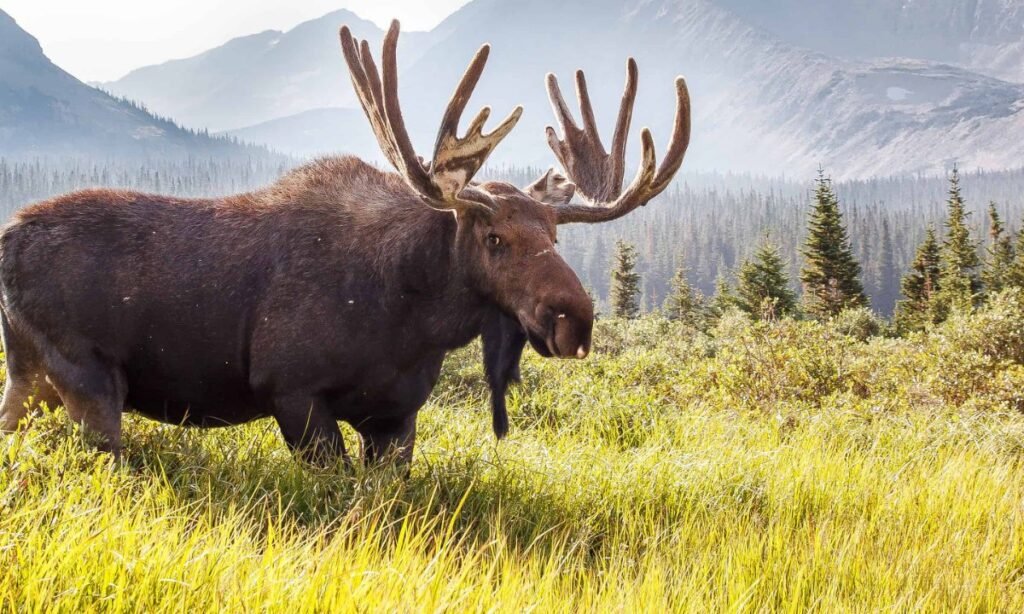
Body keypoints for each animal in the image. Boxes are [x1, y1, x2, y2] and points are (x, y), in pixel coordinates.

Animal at [0, 20, 690, 467]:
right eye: (495, 237)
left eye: (554, 235)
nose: (575, 319)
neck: (414, 320)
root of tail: (6, 241)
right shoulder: (292, 391)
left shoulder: (396, 416)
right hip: (87, 375)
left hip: (30, 376)